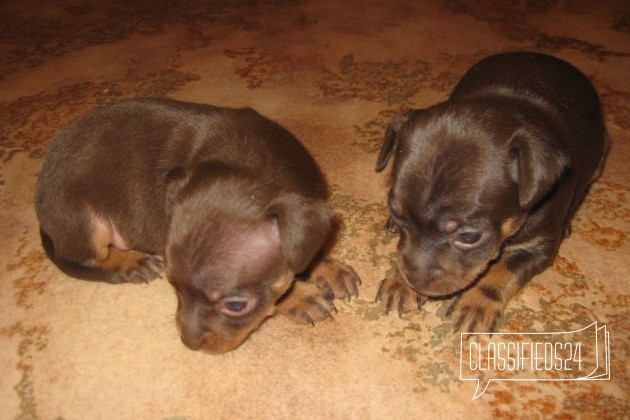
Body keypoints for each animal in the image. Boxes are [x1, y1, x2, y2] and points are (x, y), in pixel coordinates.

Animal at [37, 97, 360, 352]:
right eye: (173, 286)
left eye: (235, 306)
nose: (188, 344)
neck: (257, 166)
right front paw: (300, 297)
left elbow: (309, 248)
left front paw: (327, 268)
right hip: (85, 221)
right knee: (90, 256)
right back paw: (130, 261)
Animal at [378, 52, 608, 334]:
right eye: (396, 210)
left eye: (469, 237)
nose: (415, 279)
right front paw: (400, 281)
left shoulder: (539, 248)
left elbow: (503, 270)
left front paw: (476, 303)